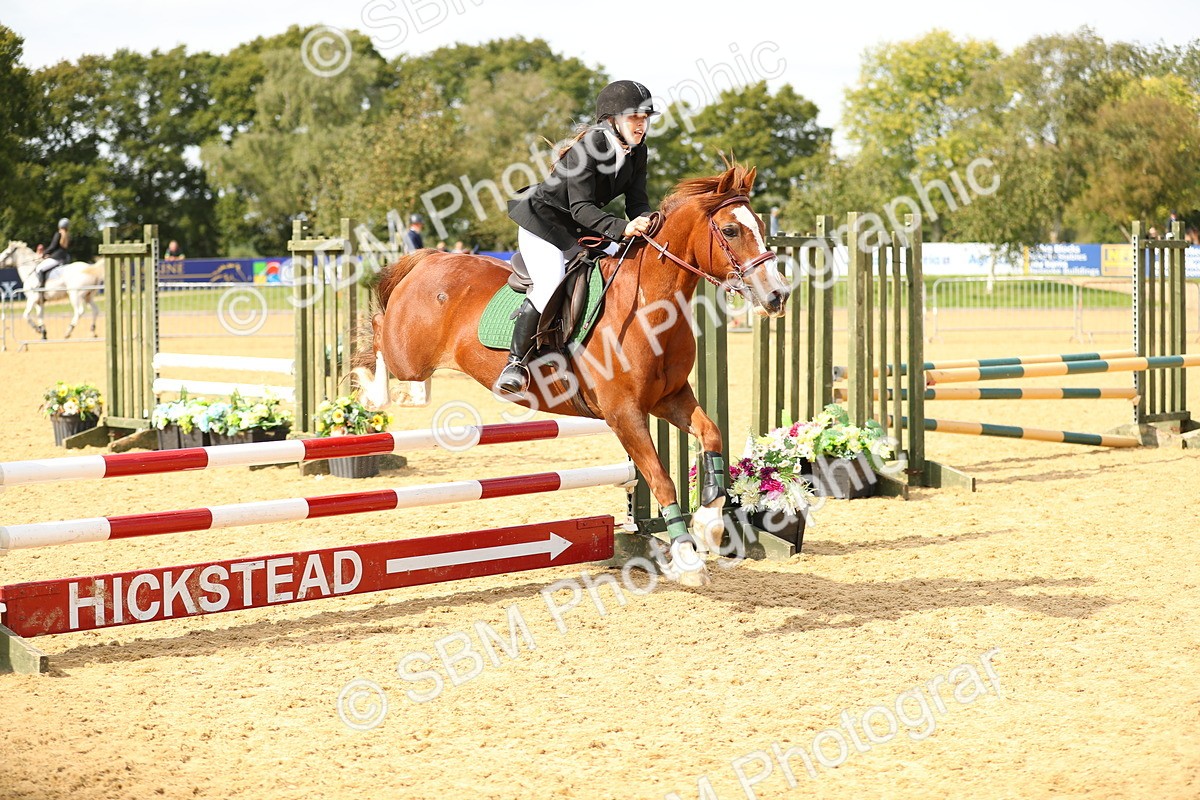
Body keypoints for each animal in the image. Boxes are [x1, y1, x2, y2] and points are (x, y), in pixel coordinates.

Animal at [351, 164, 791, 585]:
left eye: (761, 226)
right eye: (731, 230)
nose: (778, 295)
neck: (649, 304)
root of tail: (431, 259)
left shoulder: (670, 398)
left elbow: (711, 433)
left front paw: (709, 524)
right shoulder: (624, 414)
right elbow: (661, 478)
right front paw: (687, 560)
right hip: (407, 353)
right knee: (377, 334)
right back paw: (371, 393)